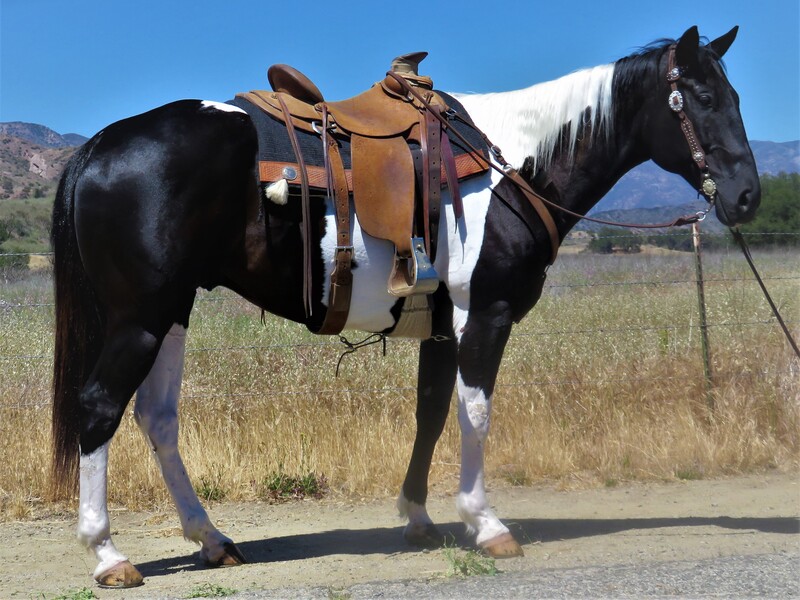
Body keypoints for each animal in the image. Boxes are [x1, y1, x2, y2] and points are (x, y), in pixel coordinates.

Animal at [51, 27, 764, 584]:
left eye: (737, 97)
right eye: (702, 99)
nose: (747, 196)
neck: (512, 165)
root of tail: (102, 144)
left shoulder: (442, 324)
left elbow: (431, 410)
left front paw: (419, 516)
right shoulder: (486, 312)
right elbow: (475, 411)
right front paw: (485, 522)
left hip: (170, 313)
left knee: (157, 418)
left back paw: (211, 539)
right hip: (140, 318)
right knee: (100, 408)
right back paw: (108, 554)